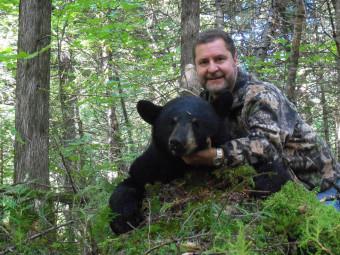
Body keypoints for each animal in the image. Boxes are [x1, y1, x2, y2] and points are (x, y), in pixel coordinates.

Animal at [108, 91, 290, 235]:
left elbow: (269, 166)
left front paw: (262, 186)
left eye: (197, 123)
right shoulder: (155, 164)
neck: (182, 163)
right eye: (171, 122)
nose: (178, 142)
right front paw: (126, 220)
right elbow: (129, 184)